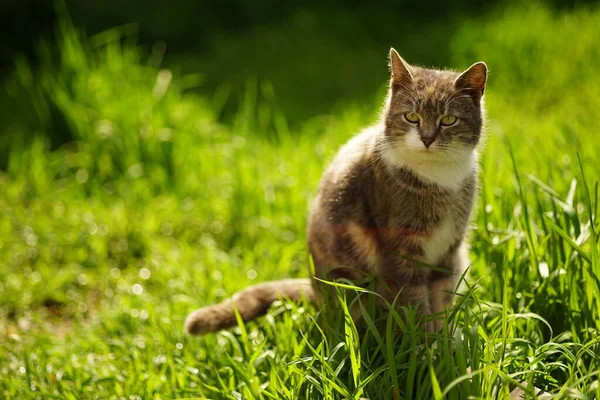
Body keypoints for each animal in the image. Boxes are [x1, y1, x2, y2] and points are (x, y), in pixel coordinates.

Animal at [184, 47, 488, 334]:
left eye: (448, 119)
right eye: (411, 116)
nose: (426, 139)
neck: (438, 177)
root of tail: (315, 291)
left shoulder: (449, 250)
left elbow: (441, 301)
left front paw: (447, 342)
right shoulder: (401, 252)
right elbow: (416, 305)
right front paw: (427, 347)